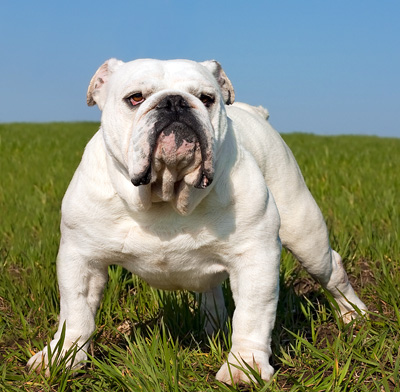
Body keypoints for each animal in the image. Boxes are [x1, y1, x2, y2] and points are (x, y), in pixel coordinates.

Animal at [26, 59, 368, 386]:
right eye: (135, 98)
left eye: (206, 98)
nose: (175, 102)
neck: (166, 197)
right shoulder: (81, 258)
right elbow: (76, 312)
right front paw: (63, 357)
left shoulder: (256, 255)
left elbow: (253, 314)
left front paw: (244, 366)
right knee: (211, 289)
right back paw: (212, 327)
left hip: (304, 233)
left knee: (332, 270)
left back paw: (355, 316)